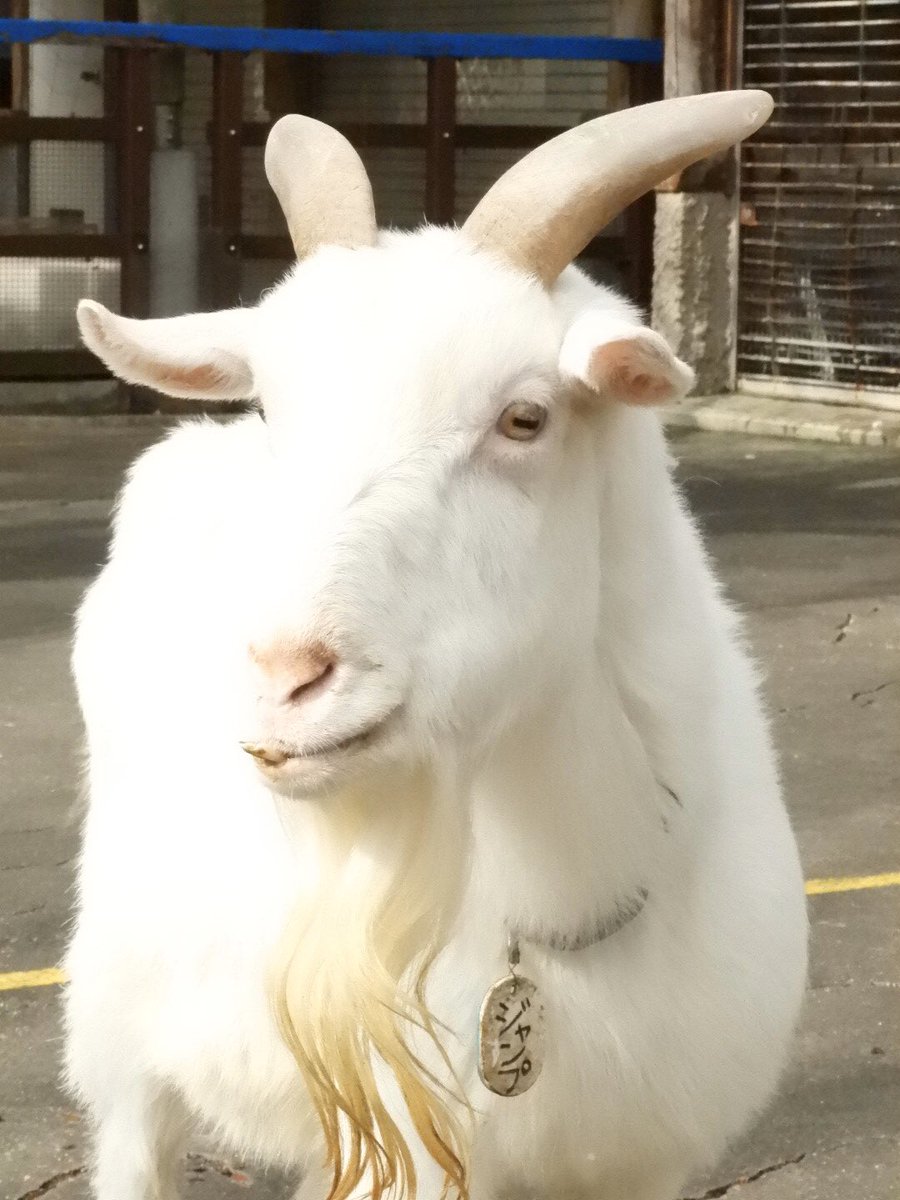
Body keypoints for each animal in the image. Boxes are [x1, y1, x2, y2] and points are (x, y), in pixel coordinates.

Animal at [65, 91, 811, 1200]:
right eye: (273, 407)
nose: (285, 676)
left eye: (525, 417)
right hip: (122, 1033)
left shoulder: (652, 1154)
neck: (558, 905)